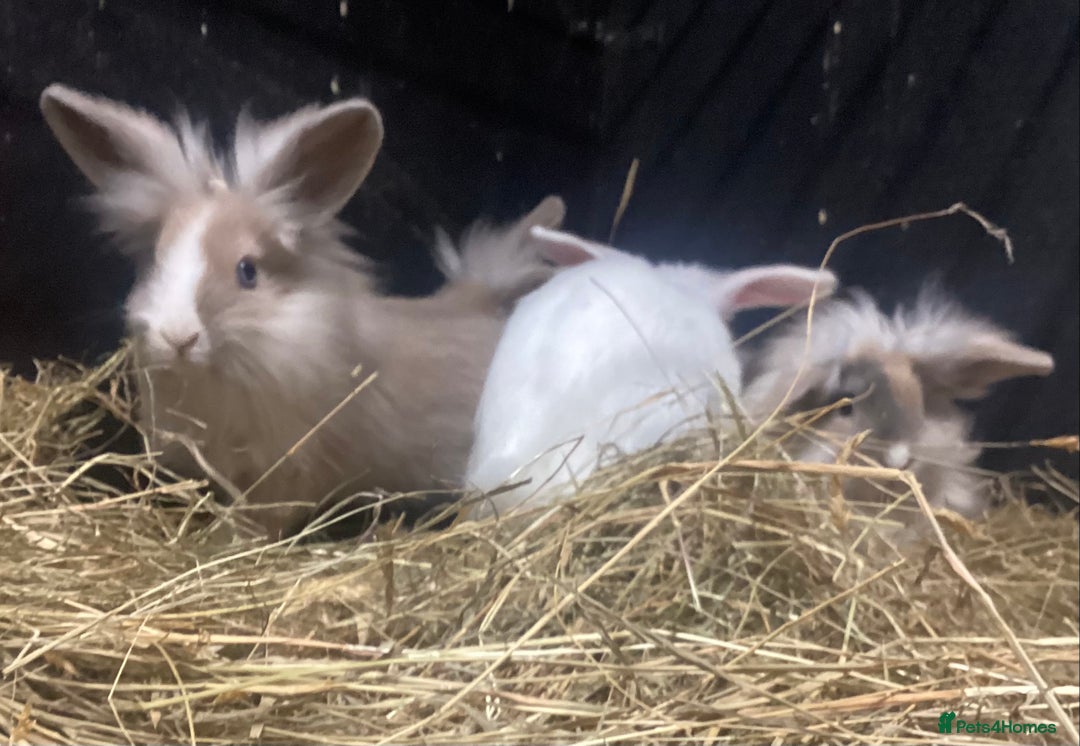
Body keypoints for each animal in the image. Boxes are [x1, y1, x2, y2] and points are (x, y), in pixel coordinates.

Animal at [39, 83, 564, 540]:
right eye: (155, 260)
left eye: (247, 271)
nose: (177, 337)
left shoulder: (290, 471)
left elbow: (259, 518)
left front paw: (221, 542)